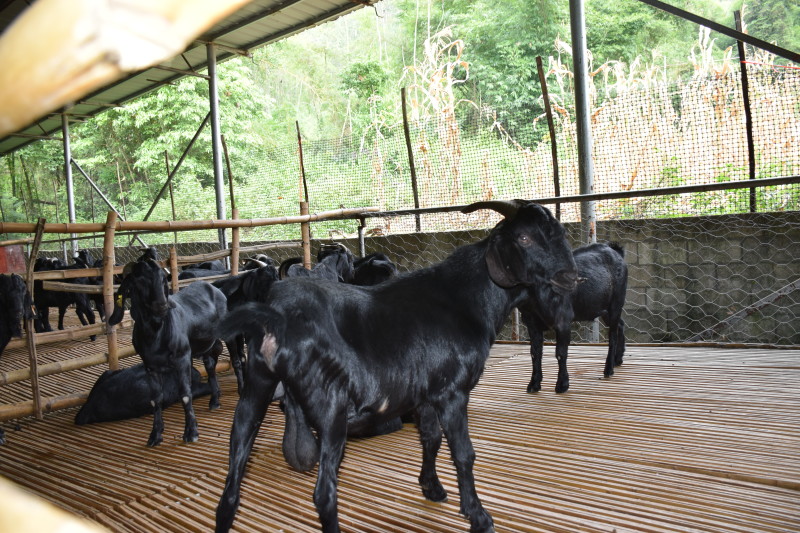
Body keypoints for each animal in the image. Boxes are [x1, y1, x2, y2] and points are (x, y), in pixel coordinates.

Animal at [108, 254, 227, 444]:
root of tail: (213, 288)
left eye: (163, 278)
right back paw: (214, 400)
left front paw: (191, 432)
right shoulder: (150, 367)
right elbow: (156, 399)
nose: (161, 305)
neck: (156, 334)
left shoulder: (182, 358)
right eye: (139, 279)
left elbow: (185, 394)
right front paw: (155, 435)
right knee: (210, 365)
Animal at [211, 264, 280, 392]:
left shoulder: (243, 332)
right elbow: (236, 360)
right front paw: (241, 388)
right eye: (263, 279)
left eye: (277, 277)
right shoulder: (230, 335)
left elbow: (243, 356)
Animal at [520, 240, 628, 390]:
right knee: (620, 325)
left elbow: (560, 352)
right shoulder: (532, 323)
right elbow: (535, 353)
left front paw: (562, 384)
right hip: (604, 309)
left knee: (613, 336)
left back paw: (608, 369)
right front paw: (534, 384)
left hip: (616, 302)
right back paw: (618, 359)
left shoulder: (563, 321)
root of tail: (616, 251)